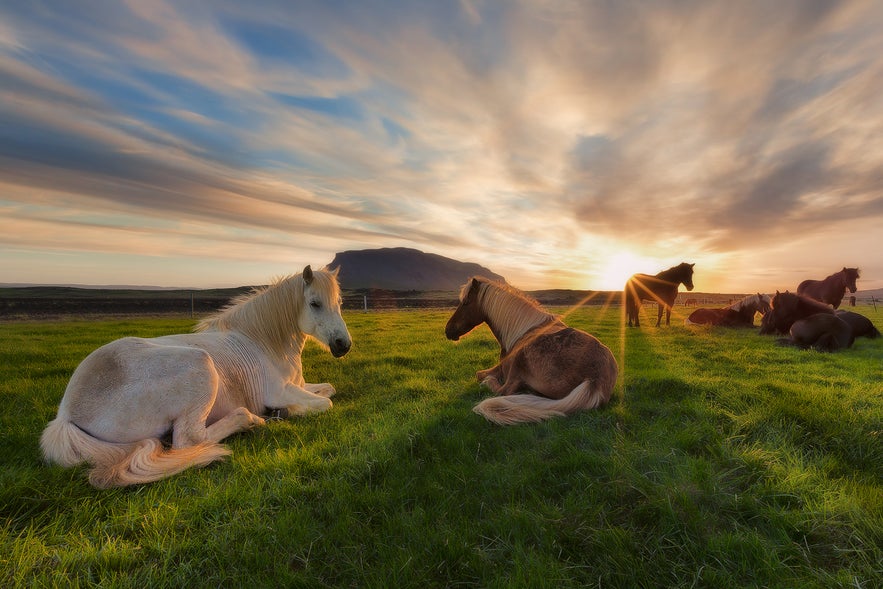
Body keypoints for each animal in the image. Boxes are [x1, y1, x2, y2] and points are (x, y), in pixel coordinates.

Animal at [40, 266, 352, 486]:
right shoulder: (279, 392)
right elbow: (326, 402)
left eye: (339, 302)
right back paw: (255, 420)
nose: (343, 345)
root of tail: (66, 414)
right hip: (201, 365)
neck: (262, 341)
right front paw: (285, 412)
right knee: (190, 439)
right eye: (314, 303)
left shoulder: (299, 385)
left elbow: (329, 389)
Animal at [446, 276, 620, 422]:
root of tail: (595, 379)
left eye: (466, 302)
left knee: (504, 390)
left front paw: (486, 379)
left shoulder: (502, 368)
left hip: (520, 358)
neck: (523, 329)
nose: (448, 330)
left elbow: (480, 375)